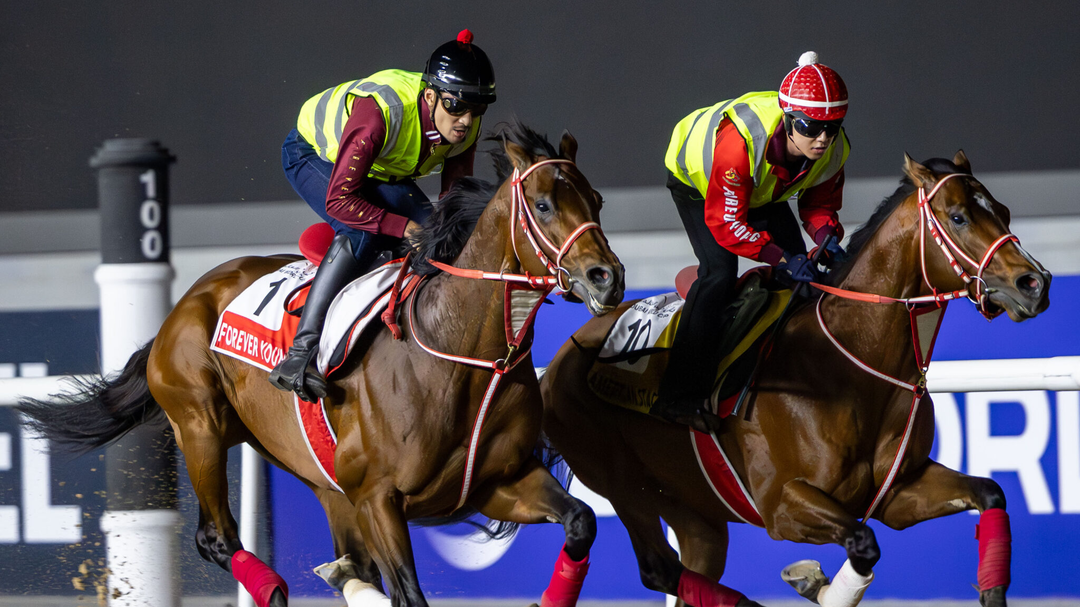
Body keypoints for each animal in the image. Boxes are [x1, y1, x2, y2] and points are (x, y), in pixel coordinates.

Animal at [20, 122, 624, 607]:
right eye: (543, 204)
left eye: (596, 199)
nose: (607, 277)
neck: (467, 360)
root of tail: (189, 299)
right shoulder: (380, 499)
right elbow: (408, 594)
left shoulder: (499, 481)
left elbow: (580, 521)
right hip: (199, 423)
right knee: (215, 537)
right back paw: (273, 588)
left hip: (317, 477)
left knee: (346, 561)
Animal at [540, 152, 1051, 607]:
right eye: (960, 217)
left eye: (1003, 211)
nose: (1035, 283)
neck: (852, 364)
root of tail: (562, 356)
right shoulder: (781, 506)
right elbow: (863, 542)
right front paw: (811, 580)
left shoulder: (899, 491)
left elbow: (991, 492)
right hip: (625, 484)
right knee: (657, 567)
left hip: (694, 512)